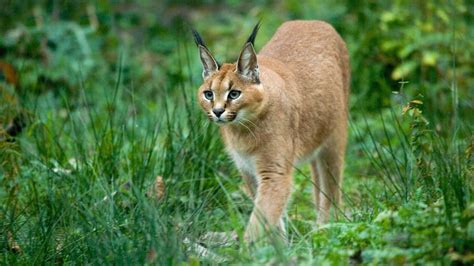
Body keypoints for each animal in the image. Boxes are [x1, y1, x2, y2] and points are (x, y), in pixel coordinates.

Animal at [193, 19, 352, 242]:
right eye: (208, 94)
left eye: (234, 94)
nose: (217, 111)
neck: (241, 130)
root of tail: (312, 21)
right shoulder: (248, 170)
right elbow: (270, 219)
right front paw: (279, 246)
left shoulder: (274, 172)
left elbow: (261, 218)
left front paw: (247, 248)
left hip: (335, 138)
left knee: (332, 189)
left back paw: (325, 230)